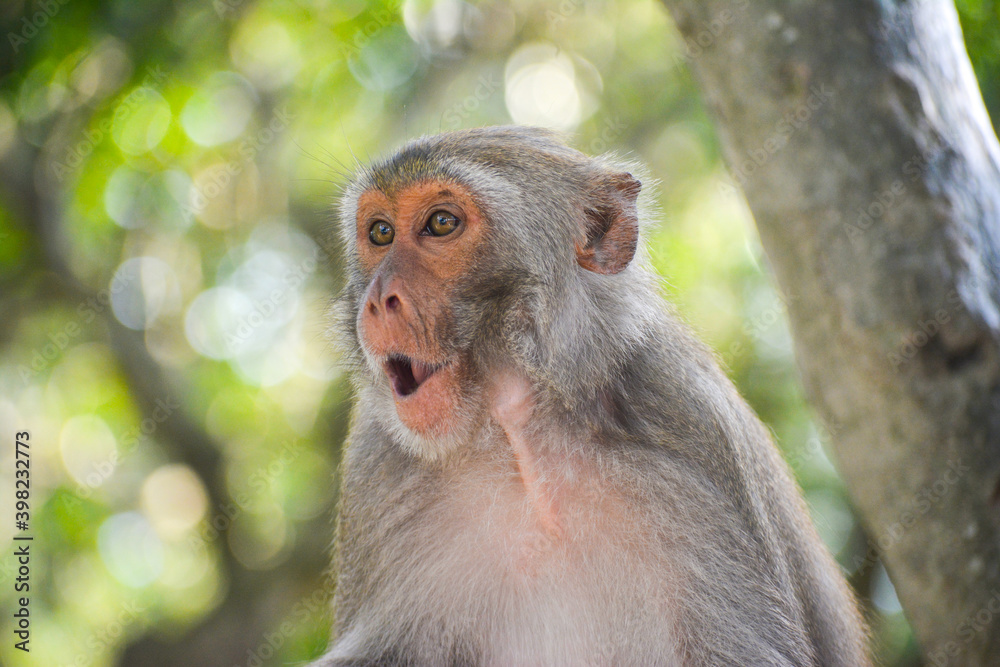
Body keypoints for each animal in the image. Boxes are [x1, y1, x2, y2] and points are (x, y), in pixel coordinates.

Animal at [312, 126, 869, 666]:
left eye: (442, 223)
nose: (378, 300)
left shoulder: (693, 430)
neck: (516, 438)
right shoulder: (378, 463)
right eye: (380, 232)